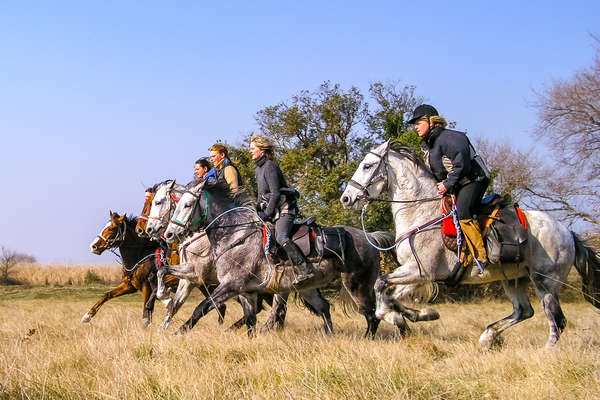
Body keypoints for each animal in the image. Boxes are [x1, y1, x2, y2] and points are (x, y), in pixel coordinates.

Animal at [162, 180, 394, 336]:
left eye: (187, 205)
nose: (169, 234)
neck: (235, 234)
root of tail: (370, 237)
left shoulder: (230, 285)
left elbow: (201, 307)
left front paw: (178, 332)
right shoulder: (246, 291)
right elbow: (250, 321)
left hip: (356, 284)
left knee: (371, 314)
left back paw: (367, 338)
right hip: (308, 288)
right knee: (324, 307)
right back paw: (329, 336)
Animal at [342, 142, 600, 348]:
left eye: (367, 166)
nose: (346, 198)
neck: (421, 212)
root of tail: (567, 232)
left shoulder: (420, 271)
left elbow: (380, 287)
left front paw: (402, 316)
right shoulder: (418, 276)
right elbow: (391, 296)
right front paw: (421, 314)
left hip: (545, 281)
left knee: (556, 320)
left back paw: (546, 352)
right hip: (514, 279)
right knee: (524, 311)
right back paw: (488, 337)